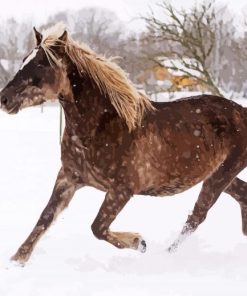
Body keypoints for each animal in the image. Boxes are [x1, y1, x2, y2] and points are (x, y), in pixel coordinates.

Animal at [0, 23, 247, 264]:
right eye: (24, 59)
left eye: (42, 64)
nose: (4, 99)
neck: (101, 127)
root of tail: (242, 111)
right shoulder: (68, 177)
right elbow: (45, 217)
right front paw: (17, 261)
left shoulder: (122, 190)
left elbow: (98, 227)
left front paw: (139, 242)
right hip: (217, 175)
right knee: (239, 194)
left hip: (220, 176)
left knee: (197, 216)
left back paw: (165, 256)